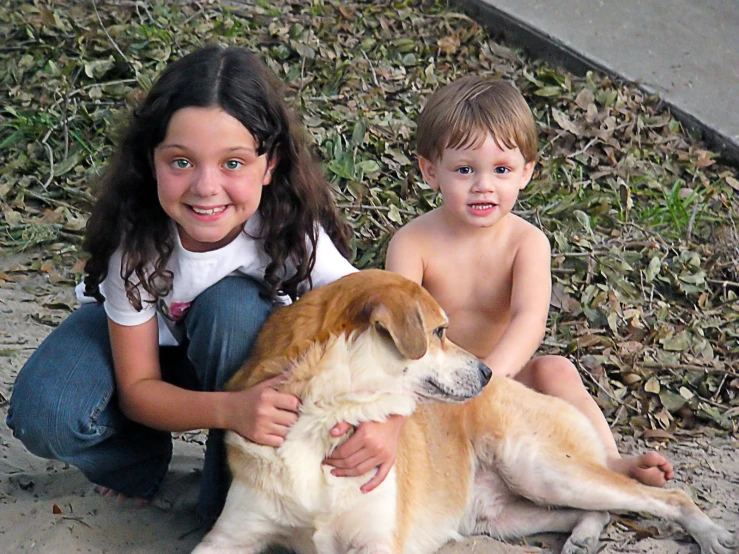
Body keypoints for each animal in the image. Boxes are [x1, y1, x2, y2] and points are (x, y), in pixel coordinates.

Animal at [194, 270, 736, 552]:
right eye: (438, 332)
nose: (487, 371)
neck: (328, 420)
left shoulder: (378, 543)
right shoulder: (229, 538)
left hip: (542, 469)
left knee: (667, 495)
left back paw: (710, 534)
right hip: (504, 515)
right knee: (592, 510)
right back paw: (584, 536)